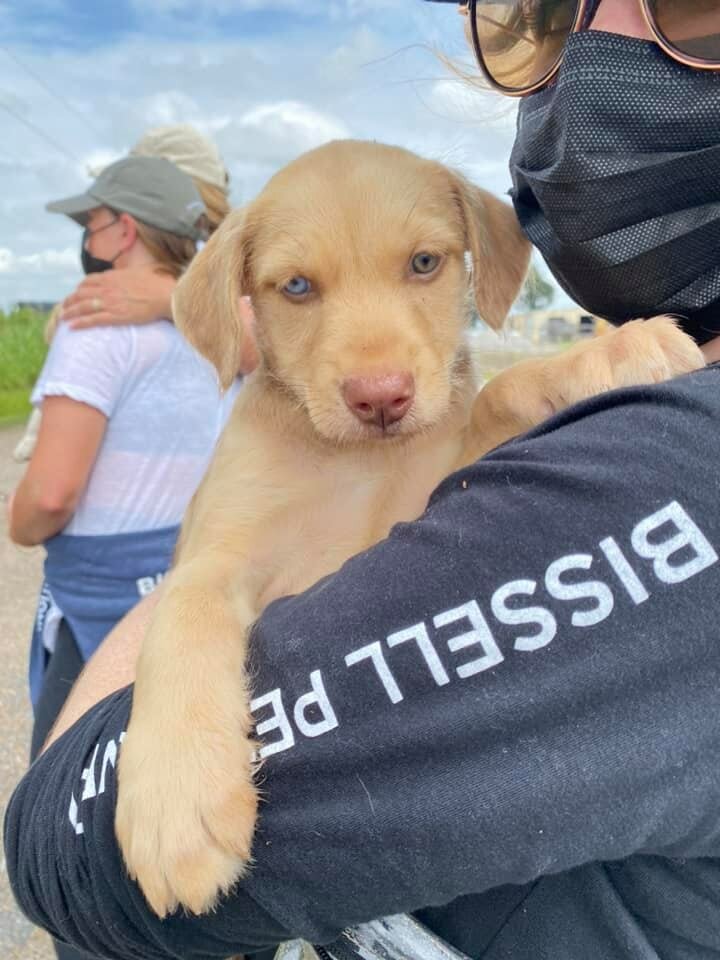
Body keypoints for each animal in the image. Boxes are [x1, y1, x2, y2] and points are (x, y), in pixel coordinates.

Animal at [115, 141, 704, 916]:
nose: (380, 399)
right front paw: (175, 798)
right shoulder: (217, 552)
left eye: (425, 263)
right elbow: (180, 614)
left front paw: (604, 356)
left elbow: (495, 398)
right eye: (296, 287)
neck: (356, 464)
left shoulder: (431, 492)